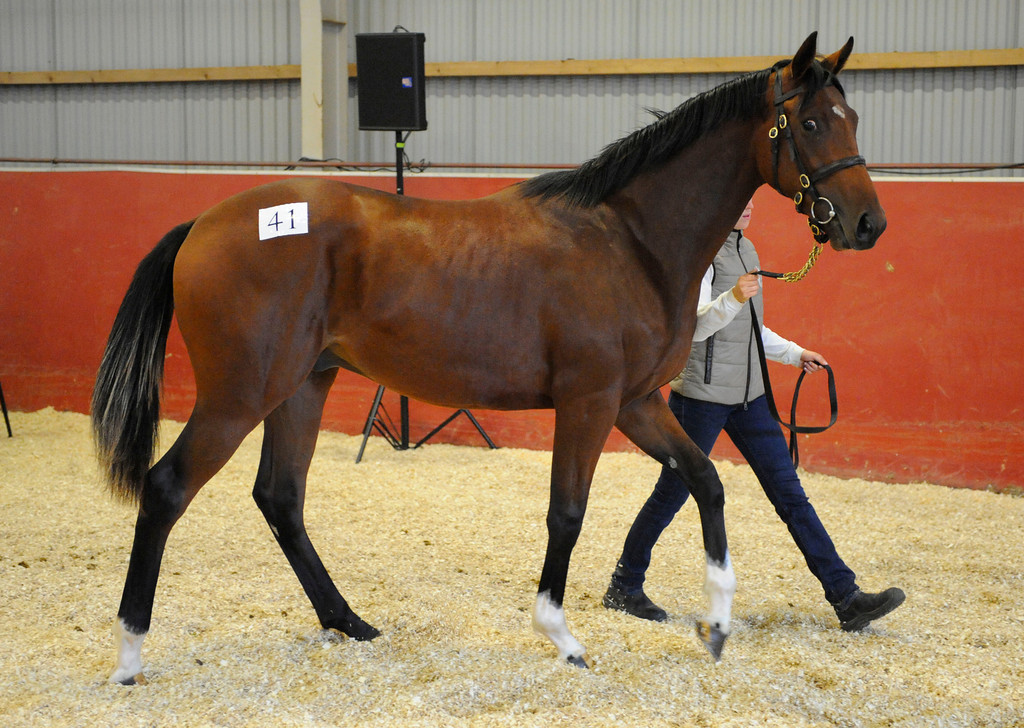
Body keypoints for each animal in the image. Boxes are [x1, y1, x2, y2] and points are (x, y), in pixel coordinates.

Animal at [92, 32, 884, 683]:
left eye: (851, 118)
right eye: (811, 123)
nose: (867, 223)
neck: (630, 240)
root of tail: (203, 222)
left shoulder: (636, 403)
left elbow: (705, 482)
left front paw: (717, 624)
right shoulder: (590, 402)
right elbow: (568, 512)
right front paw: (561, 637)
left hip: (302, 387)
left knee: (281, 498)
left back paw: (348, 622)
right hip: (240, 395)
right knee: (166, 489)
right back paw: (130, 653)